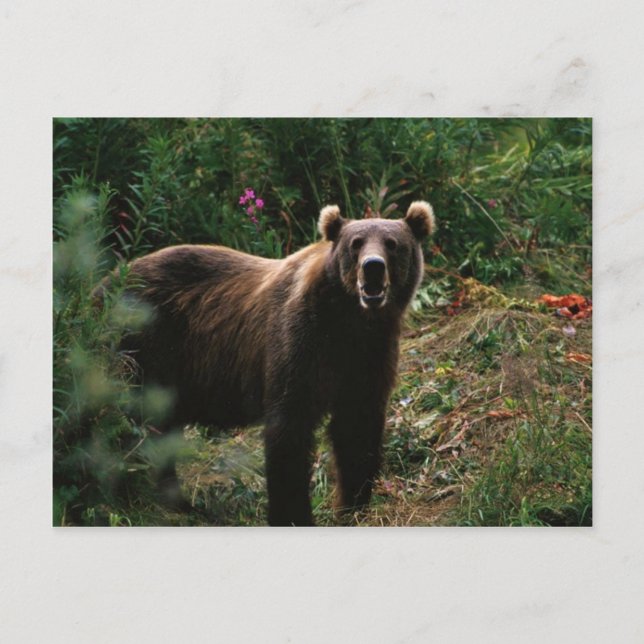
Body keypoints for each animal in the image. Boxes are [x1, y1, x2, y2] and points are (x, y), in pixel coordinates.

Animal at [117, 200, 434, 526]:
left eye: (392, 243)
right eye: (355, 243)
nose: (373, 267)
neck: (350, 321)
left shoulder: (369, 355)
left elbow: (357, 426)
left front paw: (353, 505)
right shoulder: (299, 342)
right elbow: (289, 427)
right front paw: (293, 514)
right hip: (145, 346)